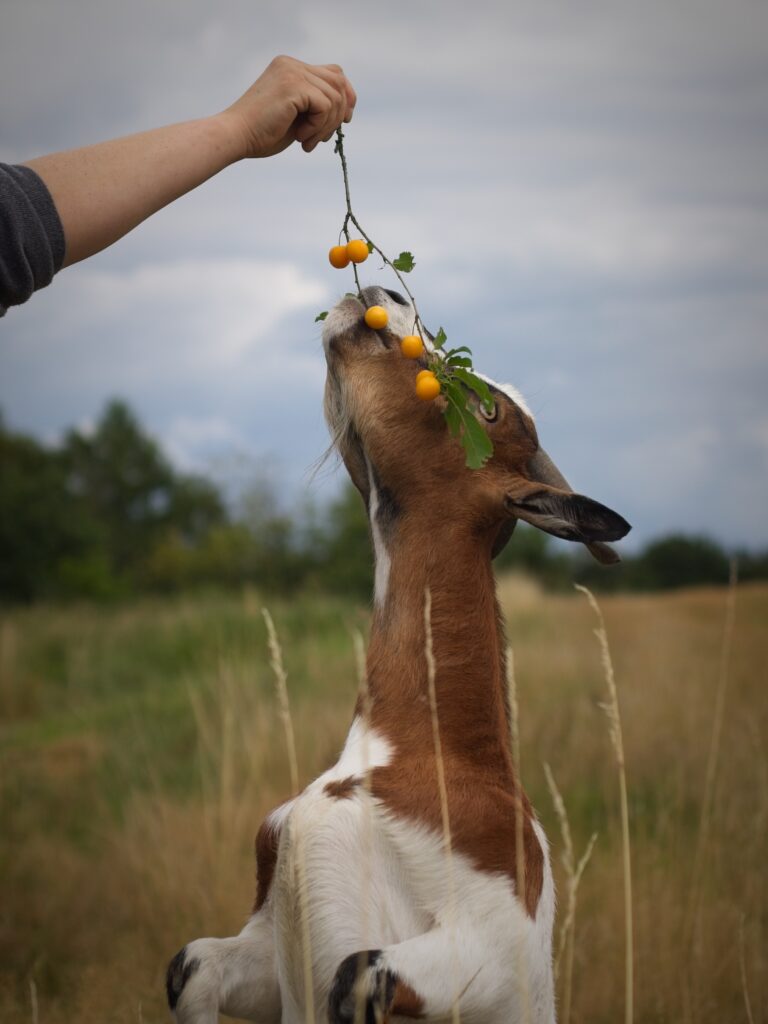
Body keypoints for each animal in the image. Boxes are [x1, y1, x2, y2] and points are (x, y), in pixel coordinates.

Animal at [166, 285, 630, 1024]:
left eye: (489, 409)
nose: (383, 295)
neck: (424, 754)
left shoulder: (491, 948)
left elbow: (358, 974)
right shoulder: (261, 947)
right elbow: (189, 964)